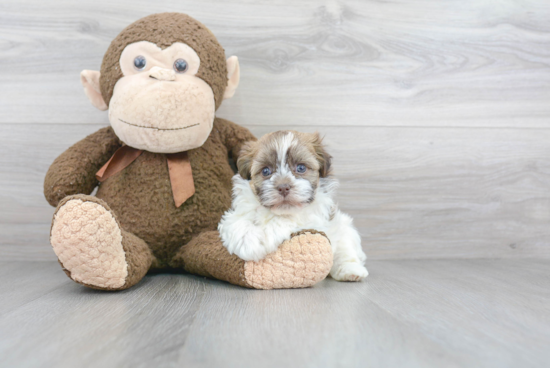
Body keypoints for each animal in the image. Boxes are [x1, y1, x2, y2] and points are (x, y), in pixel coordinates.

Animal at [218, 131, 368, 280]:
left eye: (301, 168)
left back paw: (351, 270)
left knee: (345, 249)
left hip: (344, 228)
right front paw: (248, 241)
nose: (283, 187)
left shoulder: (313, 219)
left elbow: (285, 221)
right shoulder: (238, 211)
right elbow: (236, 222)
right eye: (266, 171)